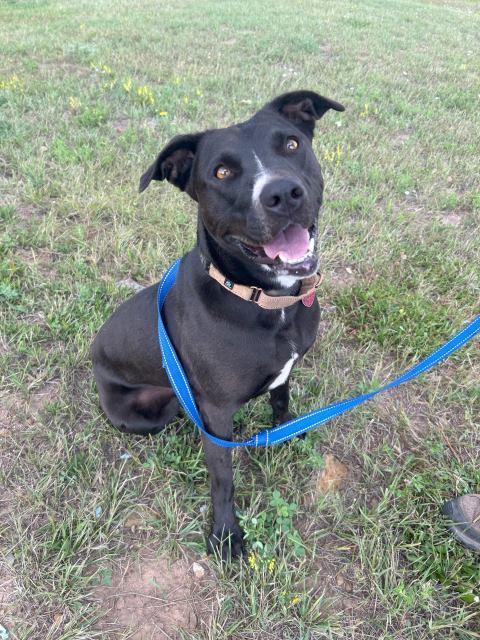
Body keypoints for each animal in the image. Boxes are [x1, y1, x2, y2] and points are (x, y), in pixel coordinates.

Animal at [91, 91, 344, 560]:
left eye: (292, 145)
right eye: (222, 172)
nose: (283, 193)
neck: (262, 298)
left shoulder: (285, 371)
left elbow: (281, 400)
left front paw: (286, 432)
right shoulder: (216, 412)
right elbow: (223, 475)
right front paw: (227, 533)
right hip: (148, 412)